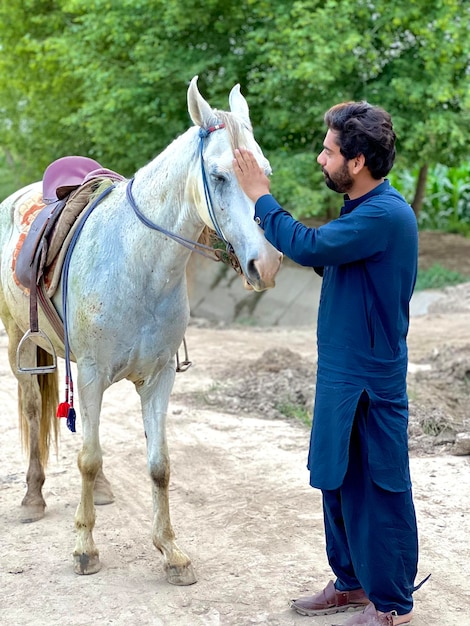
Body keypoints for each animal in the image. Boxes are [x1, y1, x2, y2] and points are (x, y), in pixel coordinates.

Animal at [0, 75, 280, 584]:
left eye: (264, 171)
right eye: (219, 176)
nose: (265, 265)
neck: (140, 265)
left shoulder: (157, 378)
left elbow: (157, 464)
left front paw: (171, 552)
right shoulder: (91, 374)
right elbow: (87, 456)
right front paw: (85, 548)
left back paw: (103, 489)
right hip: (20, 343)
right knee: (34, 411)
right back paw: (33, 497)